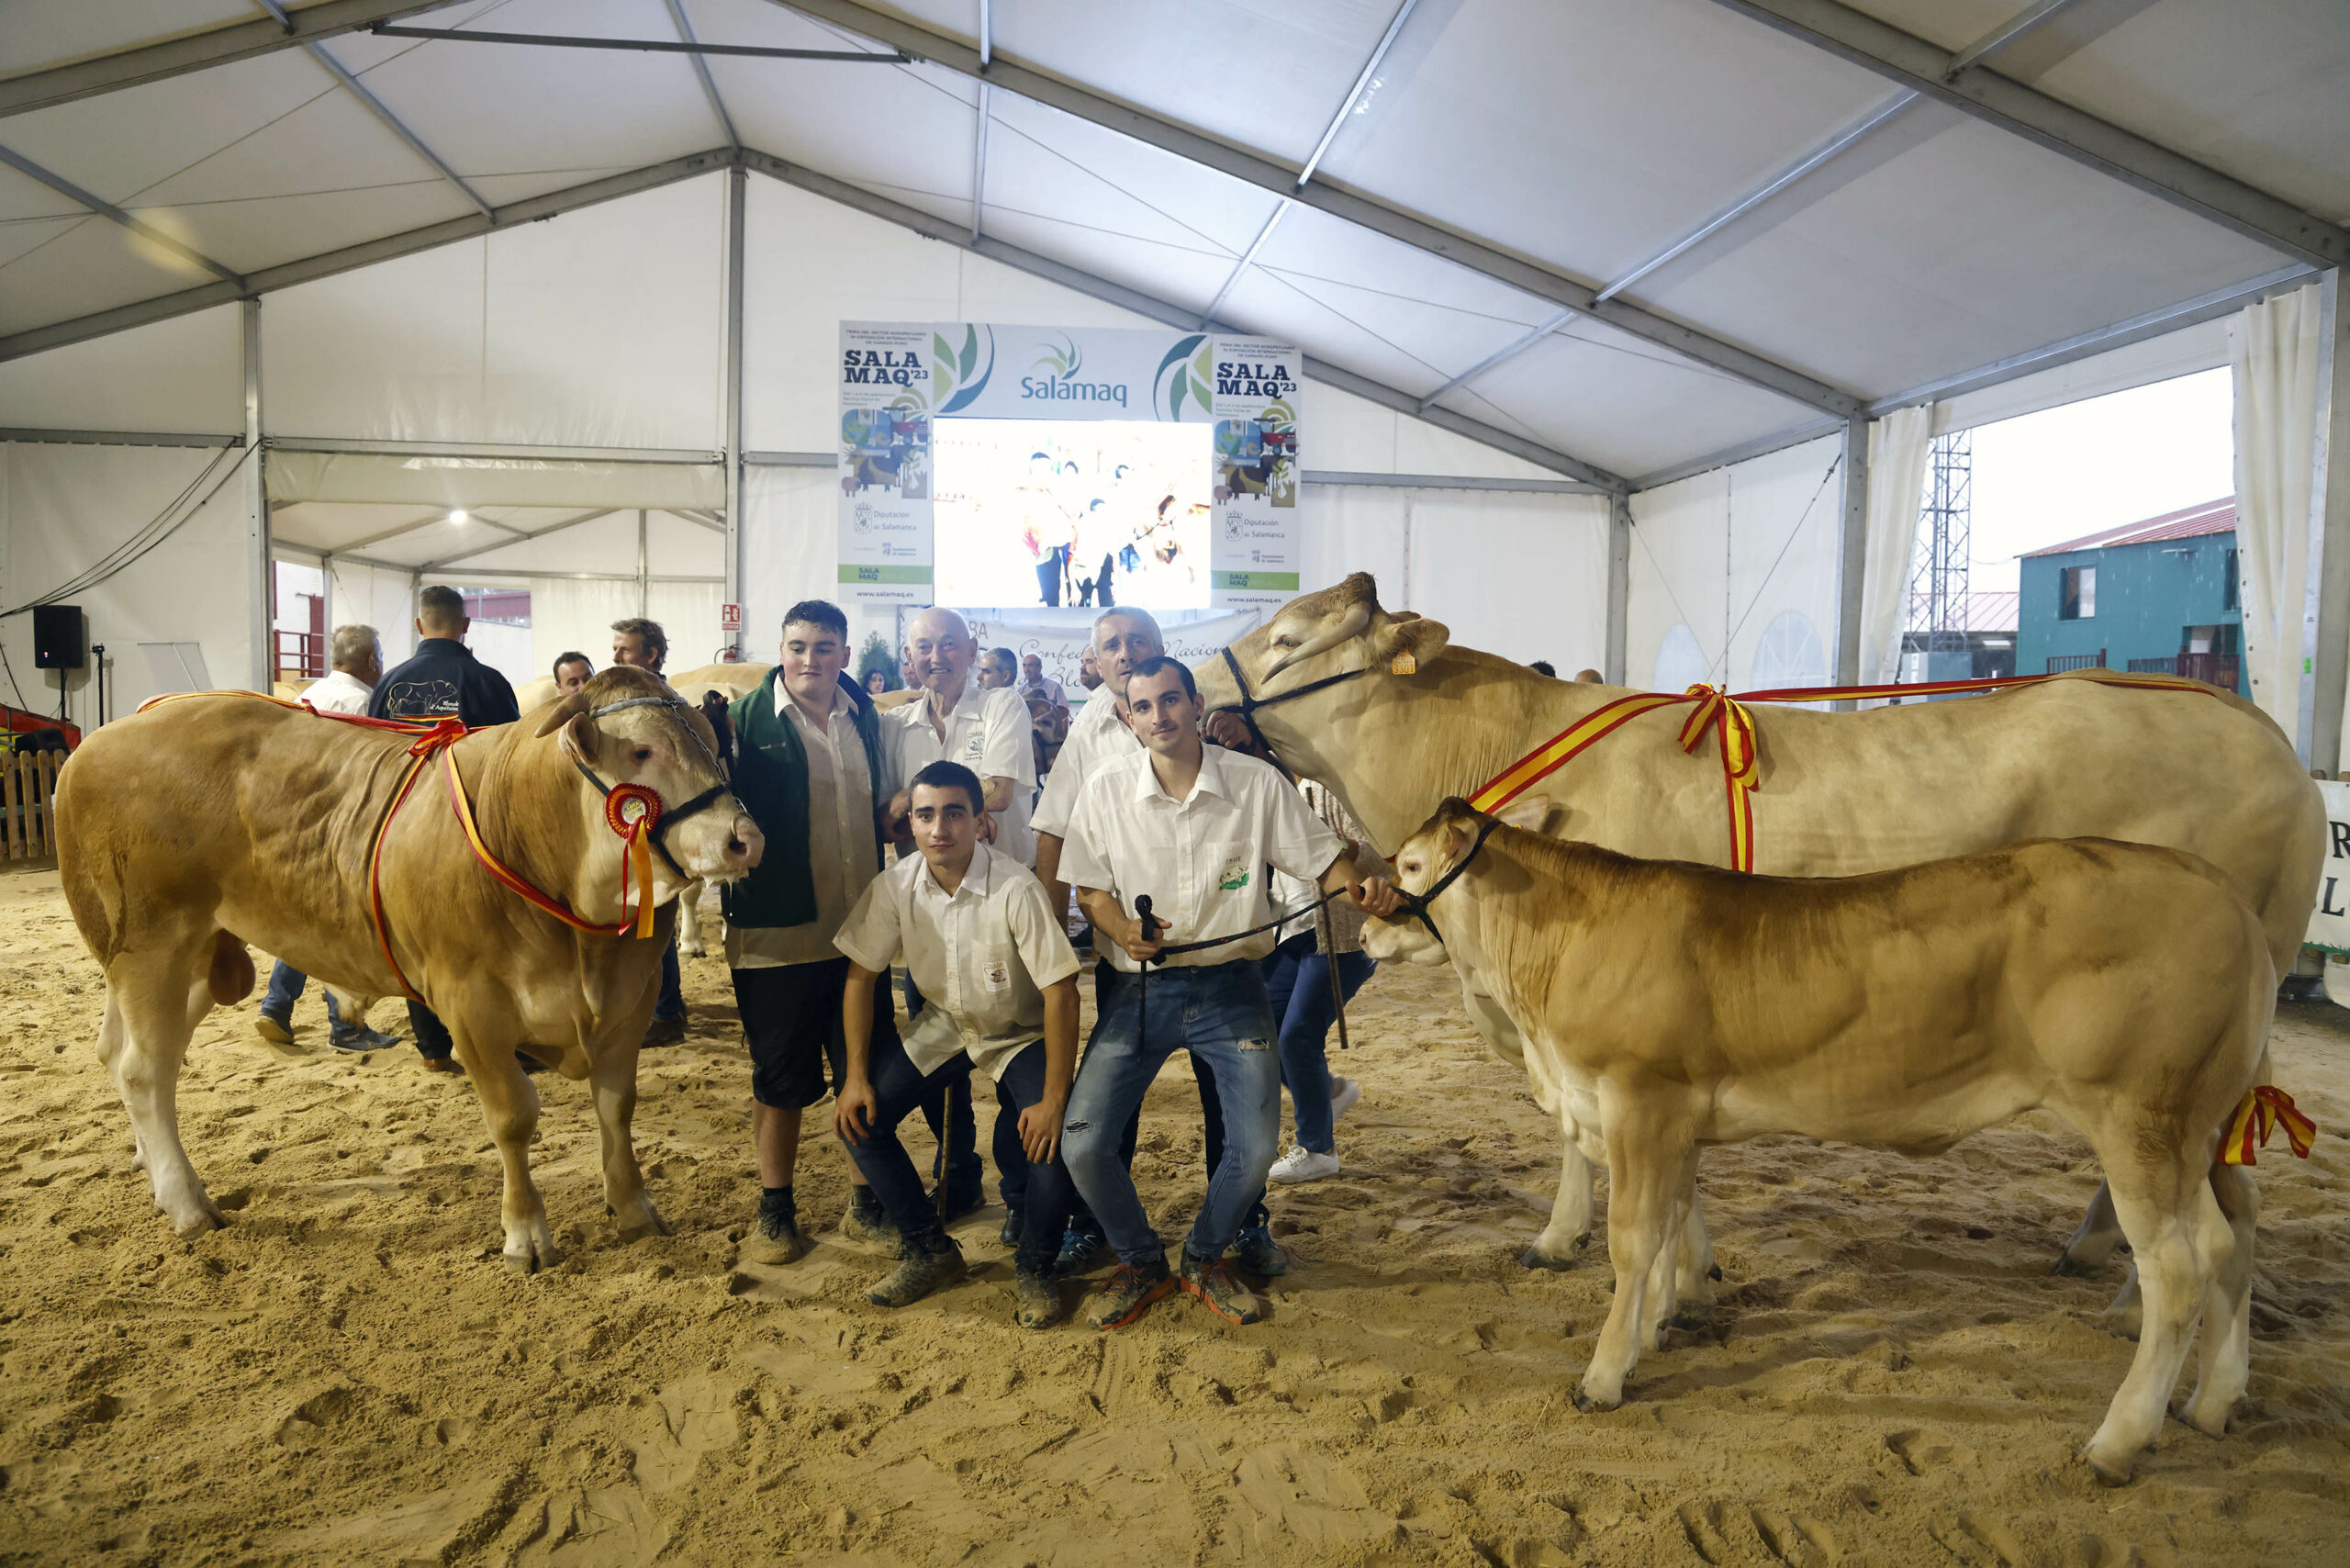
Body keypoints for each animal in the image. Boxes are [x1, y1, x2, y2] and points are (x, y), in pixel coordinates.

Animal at [1203, 576, 2322, 1297]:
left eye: (1289, 641)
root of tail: (2265, 733)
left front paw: (1653, 1264)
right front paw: (1571, 1240)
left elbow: (1609, 1140)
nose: (1189, 672)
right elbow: (1575, 1131)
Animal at [1362, 803, 2275, 1495]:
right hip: (2203, 1135)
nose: (1366, 928)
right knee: (2234, 1240)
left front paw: (1605, 1374)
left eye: (1409, 864)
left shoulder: (1639, 1099)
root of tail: (2226, 894)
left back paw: (2117, 1442)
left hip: (2138, 1121)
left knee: (2179, 1269)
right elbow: (1674, 1223)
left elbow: (1632, 1239)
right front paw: (1664, 1323)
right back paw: (2213, 1403)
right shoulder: (1674, 1113)